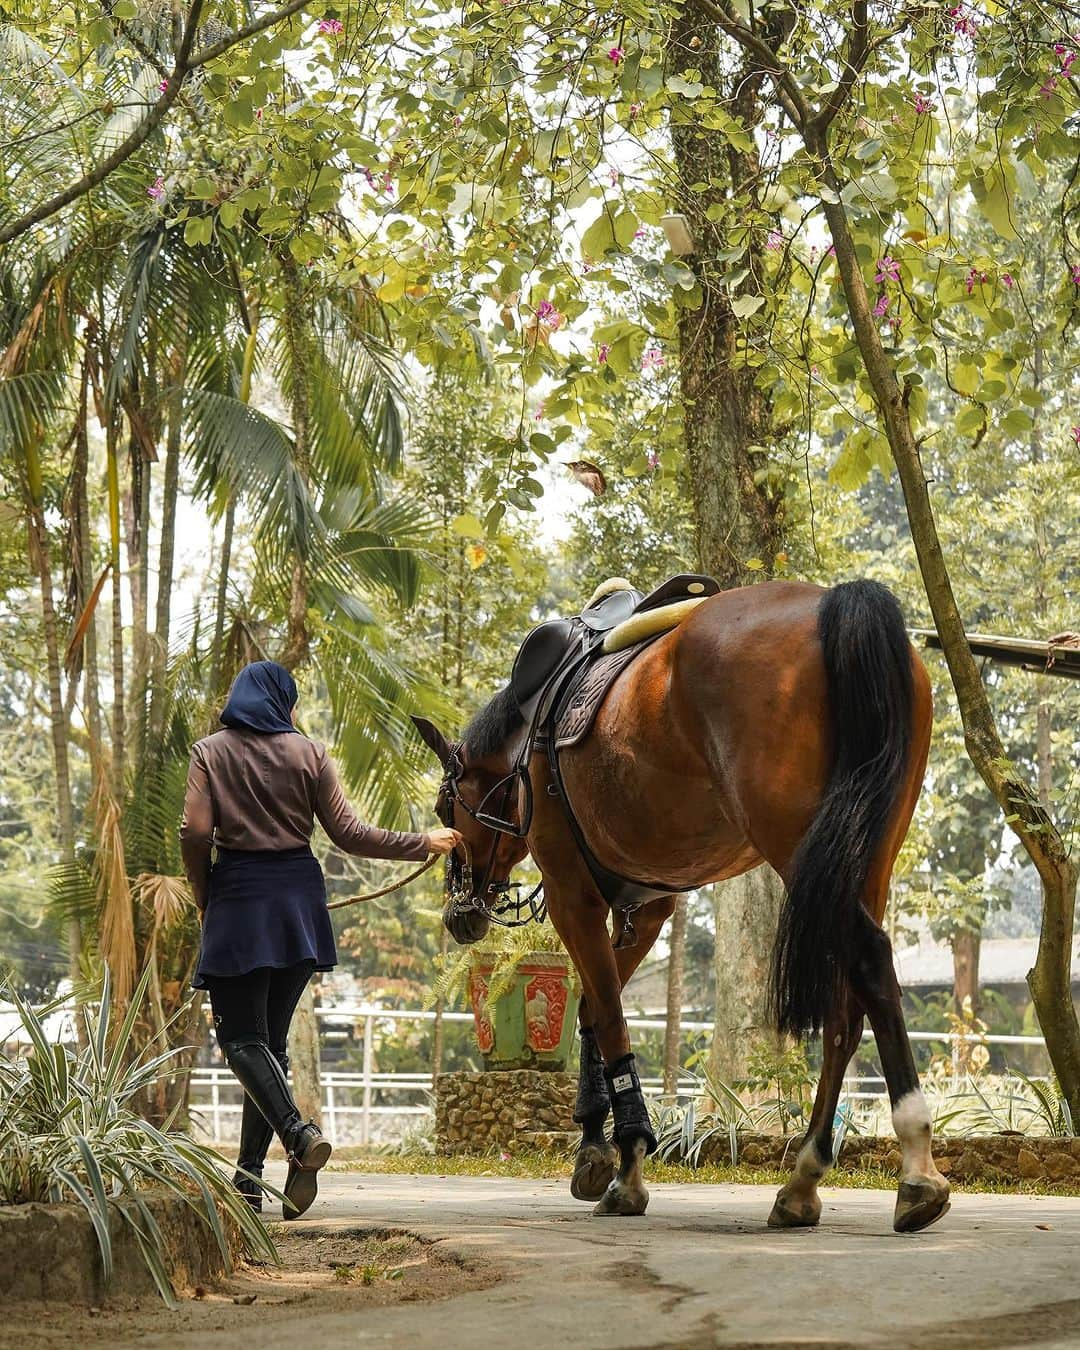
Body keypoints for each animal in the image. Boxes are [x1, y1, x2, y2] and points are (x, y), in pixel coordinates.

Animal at [418, 580, 950, 1236]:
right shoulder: (649, 906)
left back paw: (917, 1167)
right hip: (865, 853)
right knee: (847, 1013)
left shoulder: (572, 894)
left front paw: (627, 1162)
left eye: (445, 810)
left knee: (872, 962)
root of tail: (834, 605)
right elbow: (593, 1010)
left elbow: (610, 1018)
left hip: (800, 845)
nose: (459, 915)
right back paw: (803, 1176)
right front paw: (596, 1145)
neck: (527, 739)